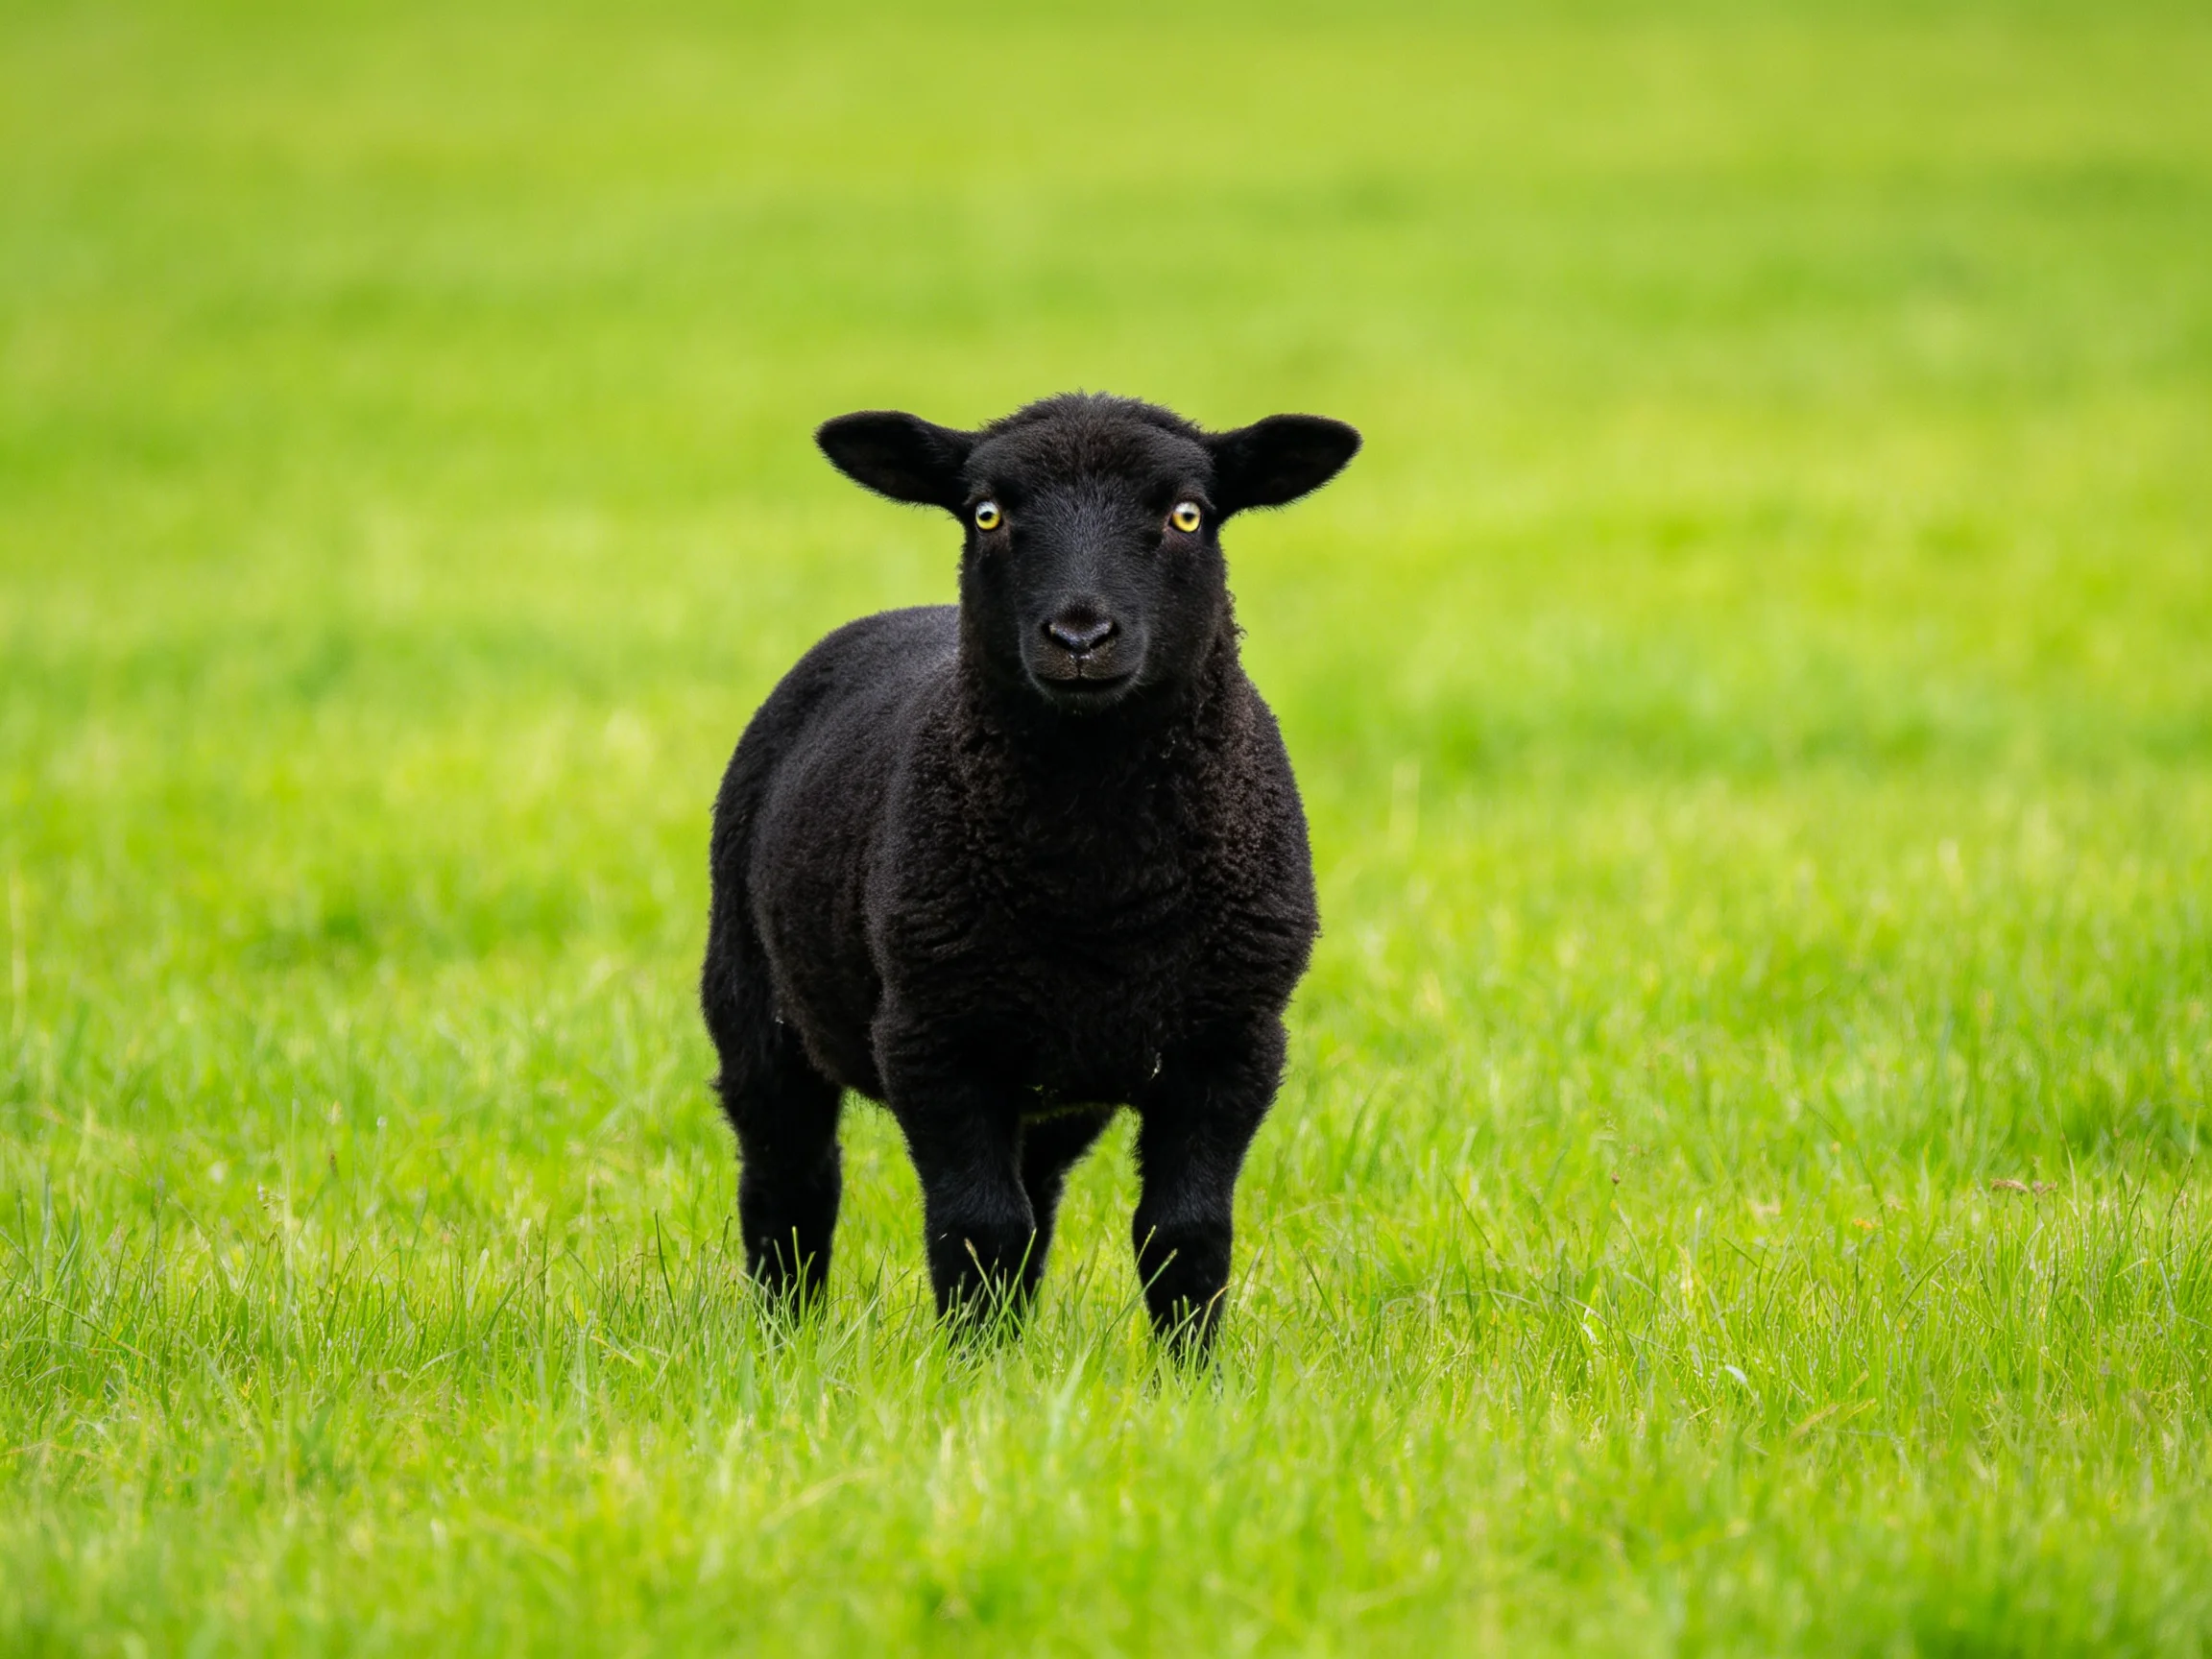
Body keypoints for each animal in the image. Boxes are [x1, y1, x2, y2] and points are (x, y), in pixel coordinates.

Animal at [700, 392, 1359, 1349]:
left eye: (1187, 515)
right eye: (987, 514)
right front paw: (971, 1371)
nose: (1080, 635)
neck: (1102, 885)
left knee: (1036, 1194)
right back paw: (787, 1336)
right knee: (790, 1181)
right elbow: (977, 1227)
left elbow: (1183, 1232)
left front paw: (1191, 1372)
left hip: (1058, 1076)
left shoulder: (1234, 1042)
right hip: (755, 997)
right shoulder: (933, 1038)